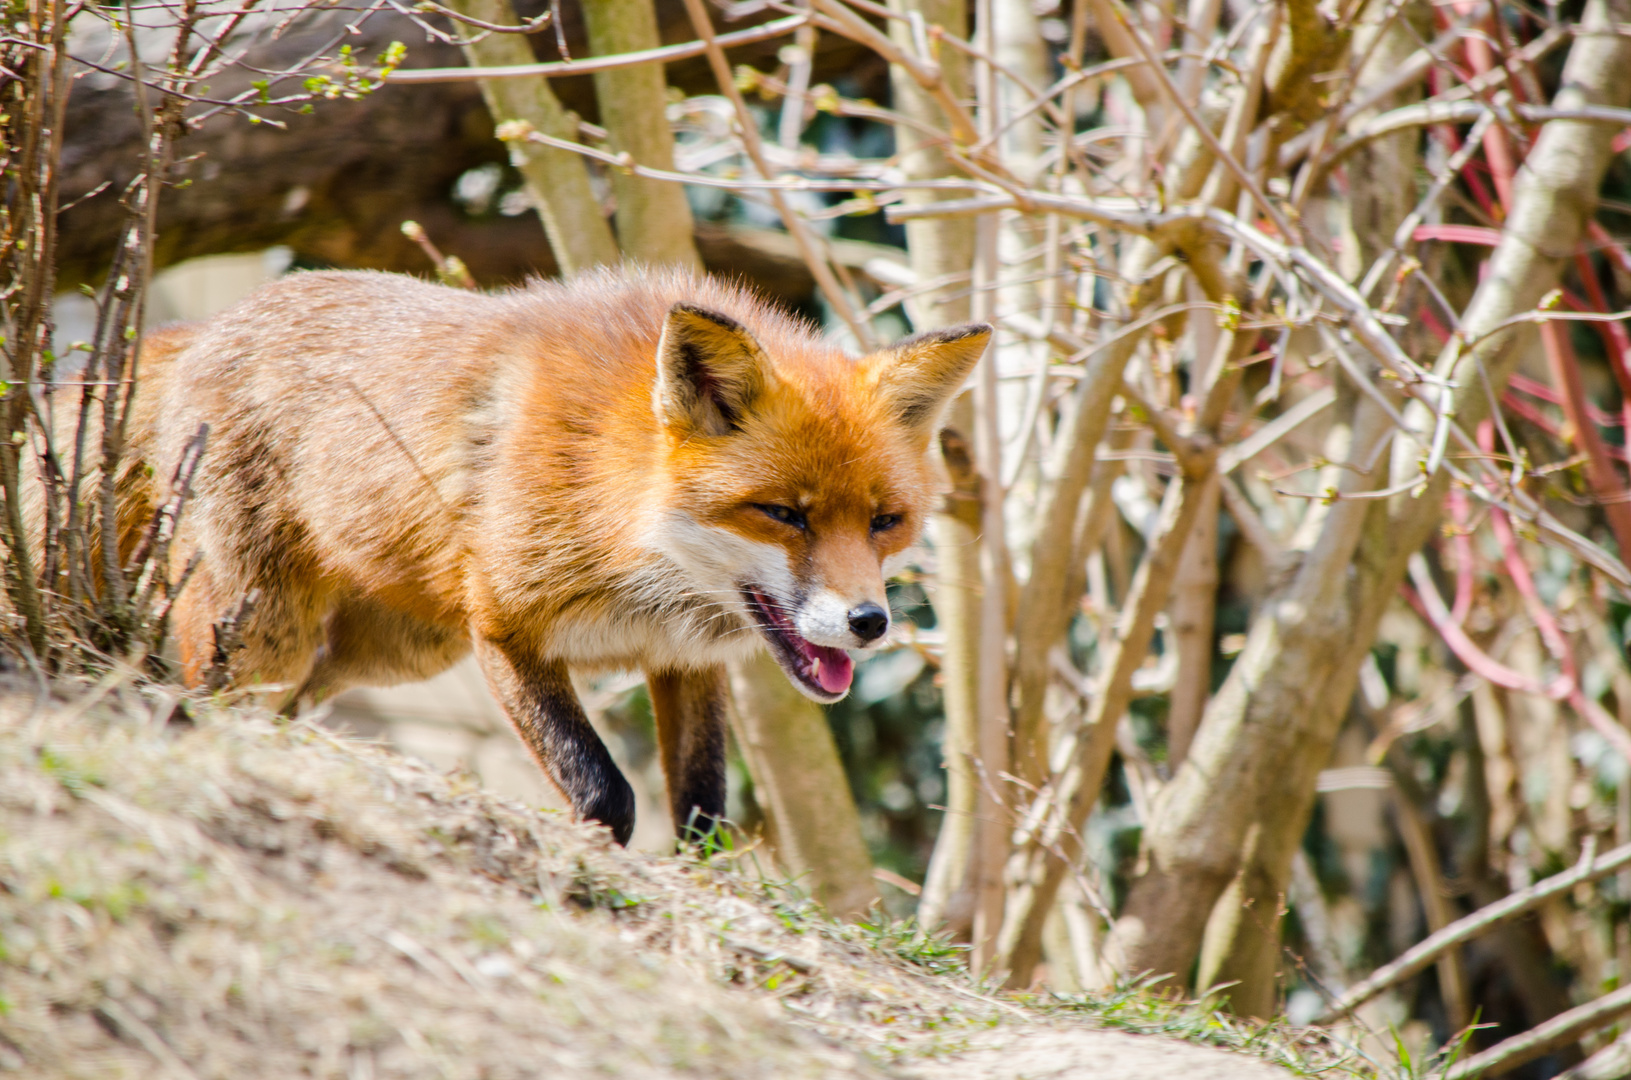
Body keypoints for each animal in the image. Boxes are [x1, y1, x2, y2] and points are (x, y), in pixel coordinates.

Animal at [120, 269, 985, 848]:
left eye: (883, 522)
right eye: (783, 515)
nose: (869, 622)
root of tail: (211, 324)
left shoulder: (684, 661)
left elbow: (702, 811)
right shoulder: (505, 629)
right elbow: (604, 791)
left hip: (391, 652)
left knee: (293, 705)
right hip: (267, 630)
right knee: (212, 695)